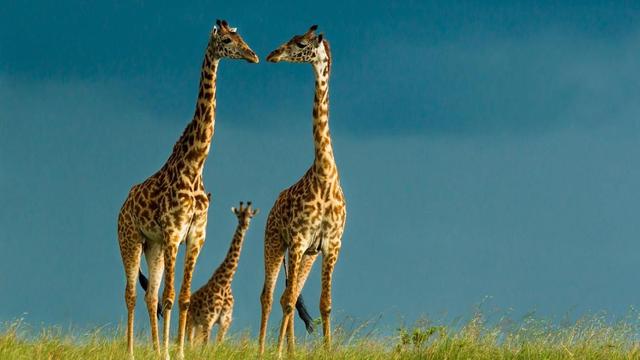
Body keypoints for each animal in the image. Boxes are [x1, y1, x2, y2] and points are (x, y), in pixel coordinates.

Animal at [184, 201, 258, 348]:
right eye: (239, 215)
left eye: (250, 216)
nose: (244, 225)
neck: (225, 282)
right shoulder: (208, 319)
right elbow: (205, 346)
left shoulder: (225, 321)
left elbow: (218, 344)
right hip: (191, 321)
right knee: (189, 342)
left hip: (197, 324)